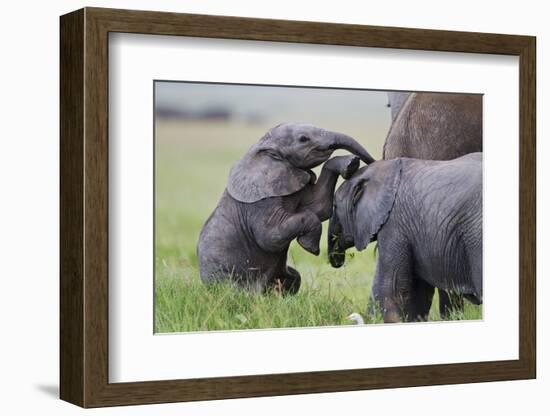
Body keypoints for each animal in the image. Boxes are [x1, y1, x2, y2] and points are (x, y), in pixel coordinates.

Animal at [197, 122, 376, 294]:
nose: (373, 163)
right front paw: (309, 247)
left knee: (295, 278)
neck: (264, 147)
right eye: (303, 139)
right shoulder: (260, 201)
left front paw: (350, 163)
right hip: (225, 277)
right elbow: (270, 238)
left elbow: (320, 206)